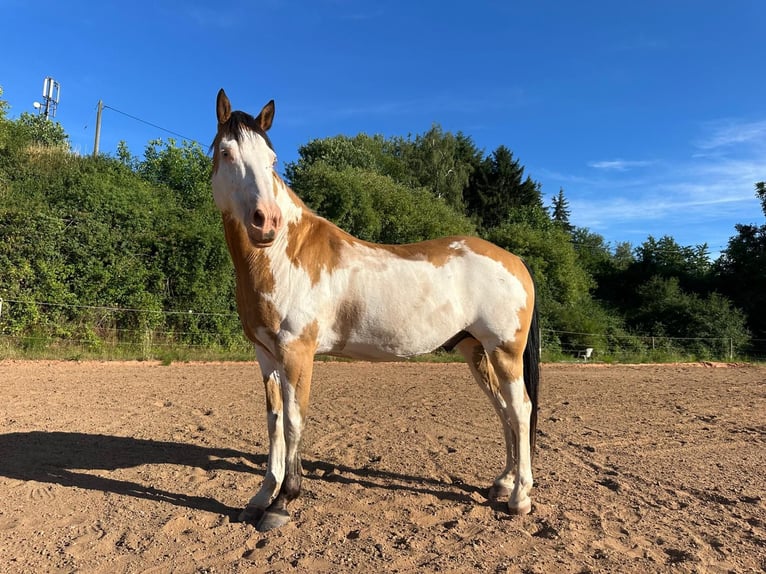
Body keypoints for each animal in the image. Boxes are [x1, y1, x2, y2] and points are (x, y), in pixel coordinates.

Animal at [211, 89, 540, 531]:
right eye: (226, 152)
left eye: (272, 159)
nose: (267, 222)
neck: (285, 254)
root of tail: (516, 261)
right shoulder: (266, 355)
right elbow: (274, 422)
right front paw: (261, 498)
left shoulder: (297, 352)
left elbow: (295, 420)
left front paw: (283, 502)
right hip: (476, 351)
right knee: (504, 411)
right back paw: (502, 484)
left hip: (504, 351)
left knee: (520, 410)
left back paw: (520, 499)